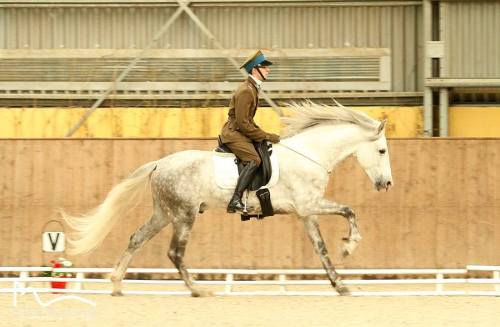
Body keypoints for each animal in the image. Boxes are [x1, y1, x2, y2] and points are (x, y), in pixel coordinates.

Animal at [61, 102, 394, 298]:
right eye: (381, 151)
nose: (387, 184)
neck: (310, 155)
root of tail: (159, 164)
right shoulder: (309, 205)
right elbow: (349, 210)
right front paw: (350, 246)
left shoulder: (306, 213)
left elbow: (322, 249)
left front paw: (340, 284)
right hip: (184, 216)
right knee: (175, 253)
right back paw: (197, 290)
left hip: (164, 213)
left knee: (136, 239)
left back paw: (117, 284)